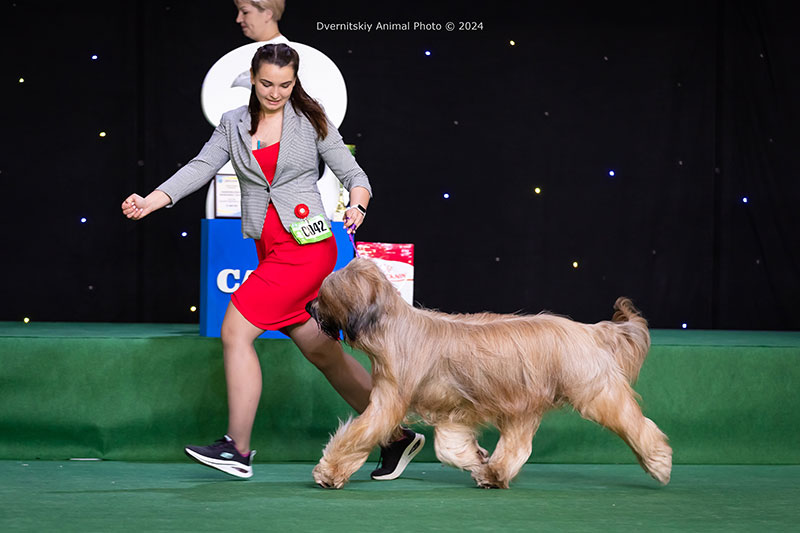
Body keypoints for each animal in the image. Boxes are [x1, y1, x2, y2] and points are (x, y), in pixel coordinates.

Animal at [306, 258, 672, 489]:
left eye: (323, 296)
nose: (308, 307)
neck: (391, 326)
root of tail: (589, 330)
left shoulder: (389, 401)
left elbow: (359, 433)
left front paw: (329, 471)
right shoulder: (453, 408)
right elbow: (450, 447)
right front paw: (475, 457)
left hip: (594, 392)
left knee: (634, 422)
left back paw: (659, 461)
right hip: (523, 403)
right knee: (518, 446)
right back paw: (494, 474)